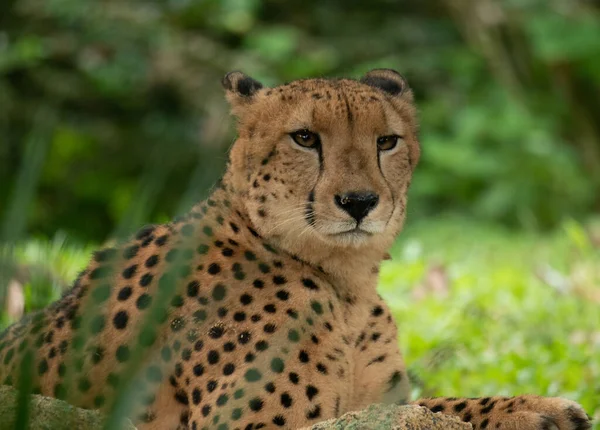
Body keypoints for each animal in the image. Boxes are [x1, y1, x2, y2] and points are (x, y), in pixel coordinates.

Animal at [0, 70, 592, 430]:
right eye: (305, 138)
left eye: (386, 141)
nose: (359, 202)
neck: (344, 283)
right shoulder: (252, 423)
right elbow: (404, 418)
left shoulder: (377, 397)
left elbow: (428, 406)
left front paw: (534, 408)